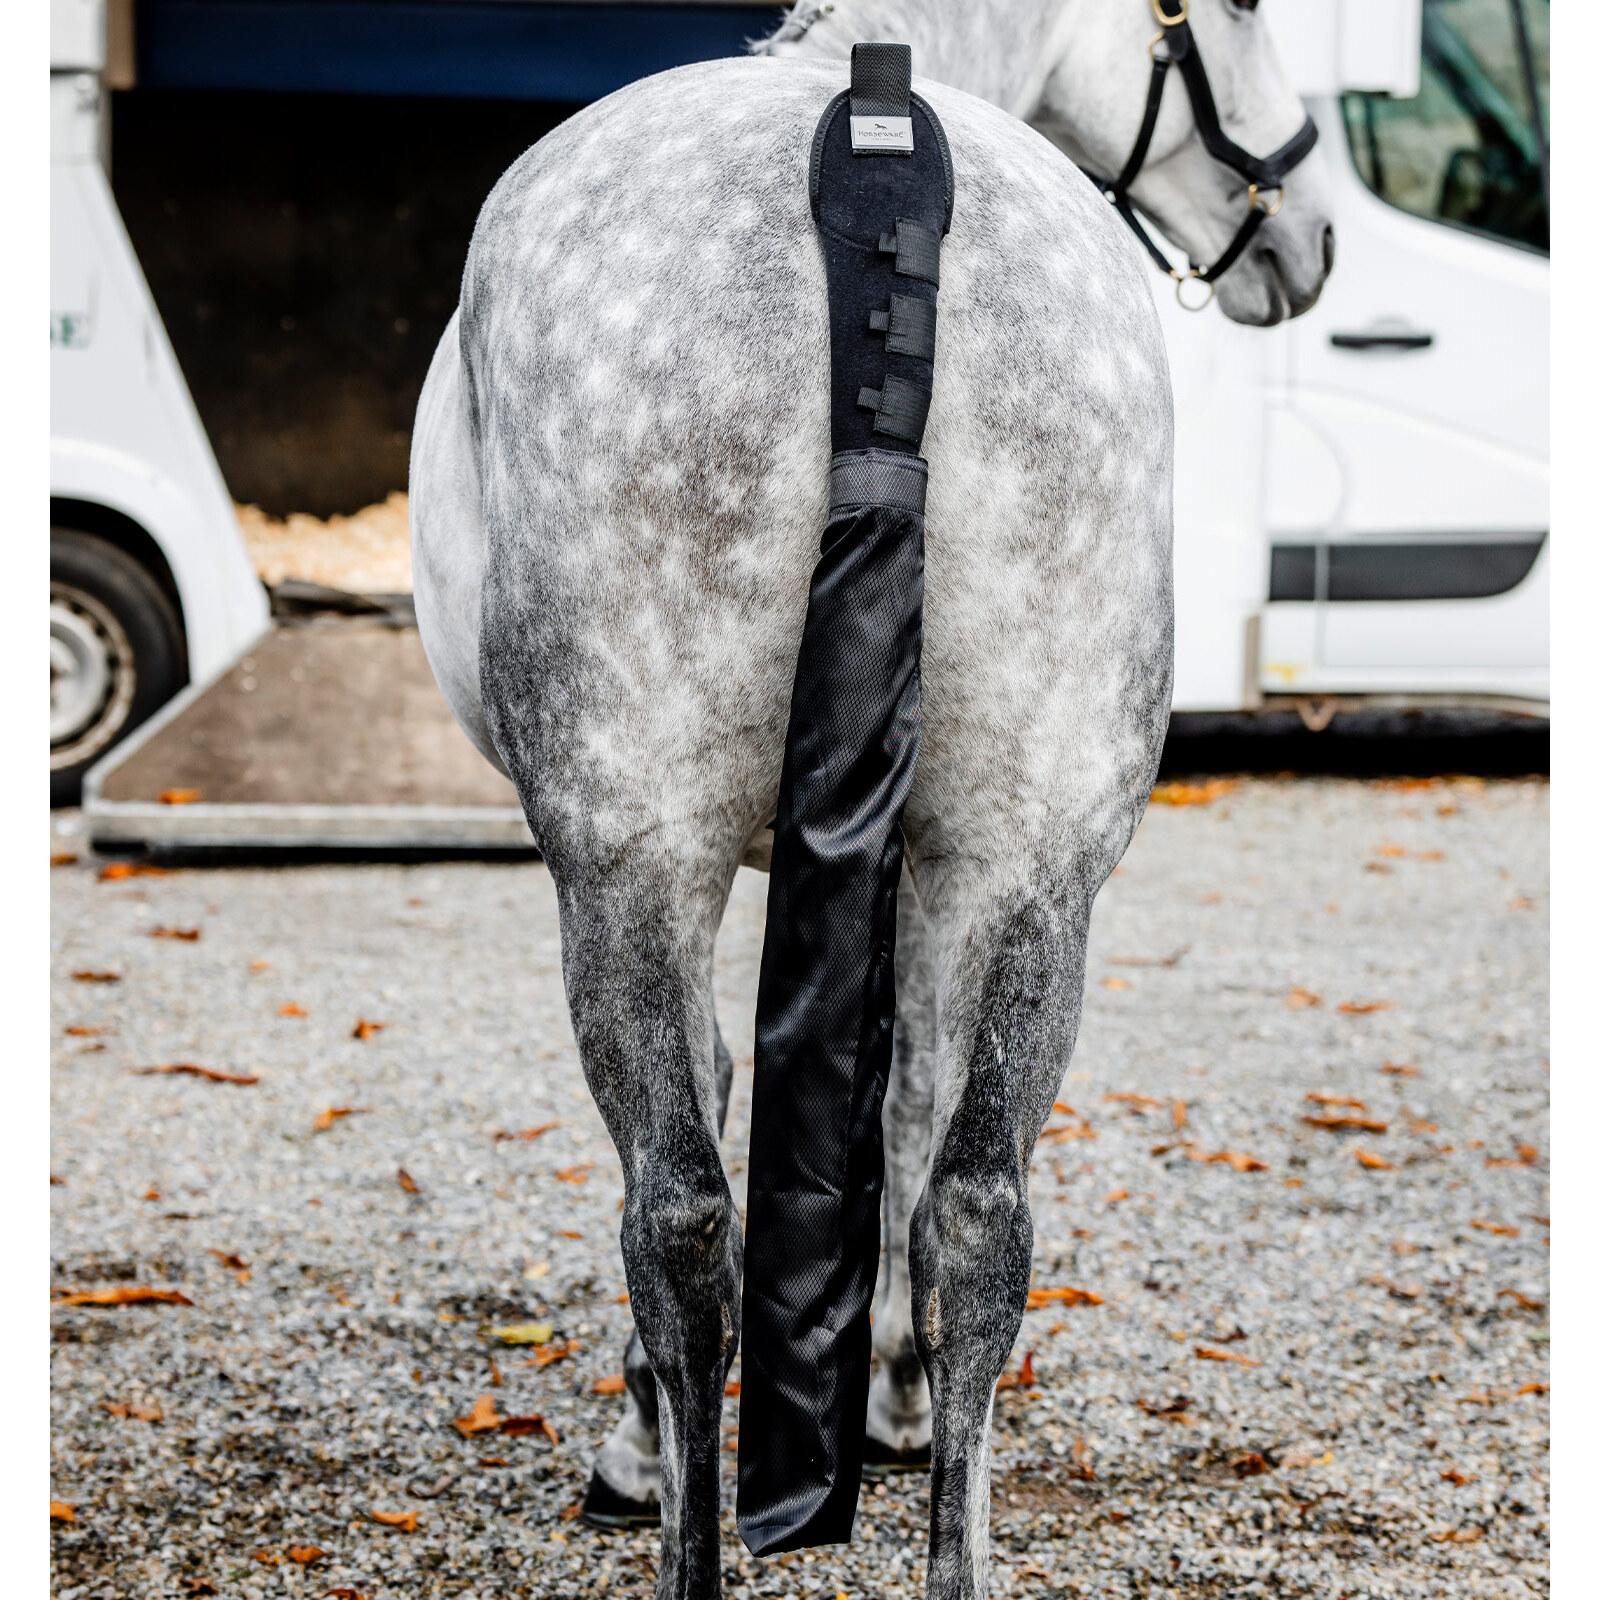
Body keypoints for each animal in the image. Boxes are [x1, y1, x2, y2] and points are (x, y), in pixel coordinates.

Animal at [408, 2, 1334, 1594]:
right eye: (1245, 16)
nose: (1310, 240)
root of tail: (876, 167)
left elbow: (739, 1100)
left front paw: (654, 1441)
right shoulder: (929, 858)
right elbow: (902, 1116)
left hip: (630, 863)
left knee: (681, 1214)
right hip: (1033, 864)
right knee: (979, 1212)